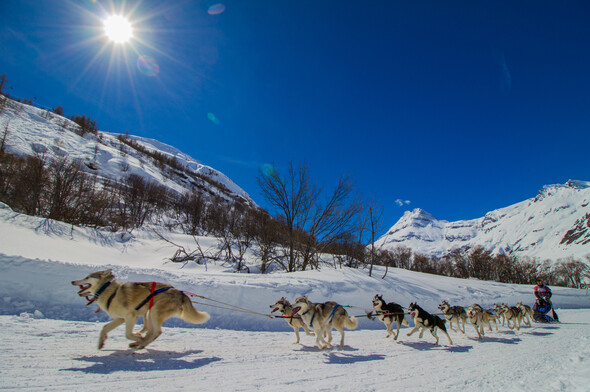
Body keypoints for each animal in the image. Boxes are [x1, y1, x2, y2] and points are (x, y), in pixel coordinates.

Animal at [71, 270, 210, 350]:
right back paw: (140, 343)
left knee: (156, 332)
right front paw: (101, 342)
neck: (110, 292)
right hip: (149, 314)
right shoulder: (120, 319)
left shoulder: (131, 316)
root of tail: (180, 293)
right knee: (151, 331)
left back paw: (141, 344)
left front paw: (138, 338)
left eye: (87, 277)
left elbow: (128, 334)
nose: (72, 281)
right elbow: (105, 328)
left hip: (154, 312)